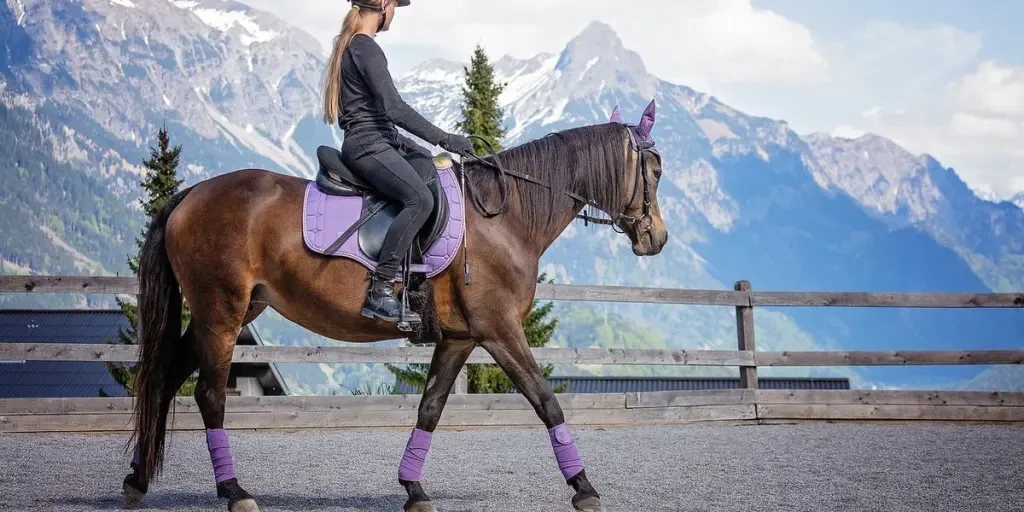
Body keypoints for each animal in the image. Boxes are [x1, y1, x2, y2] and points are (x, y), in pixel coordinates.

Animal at [121, 99, 671, 512]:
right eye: (655, 170)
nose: (657, 238)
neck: (505, 217)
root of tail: (192, 194)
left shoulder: (460, 338)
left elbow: (430, 408)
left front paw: (414, 489)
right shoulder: (499, 331)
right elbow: (545, 400)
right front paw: (584, 488)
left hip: (230, 312)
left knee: (165, 378)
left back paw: (137, 481)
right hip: (222, 313)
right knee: (208, 395)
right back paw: (234, 492)